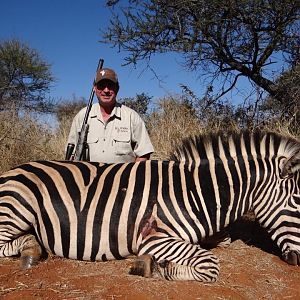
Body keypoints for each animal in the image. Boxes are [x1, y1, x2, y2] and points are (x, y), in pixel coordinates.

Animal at [0, 131, 298, 282]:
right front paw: (158, 267)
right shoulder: (153, 238)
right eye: (297, 204)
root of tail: (11, 171)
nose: (298, 260)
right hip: (19, 205)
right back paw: (30, 249)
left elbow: (222, 241)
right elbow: (210, 264)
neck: (194, 193)